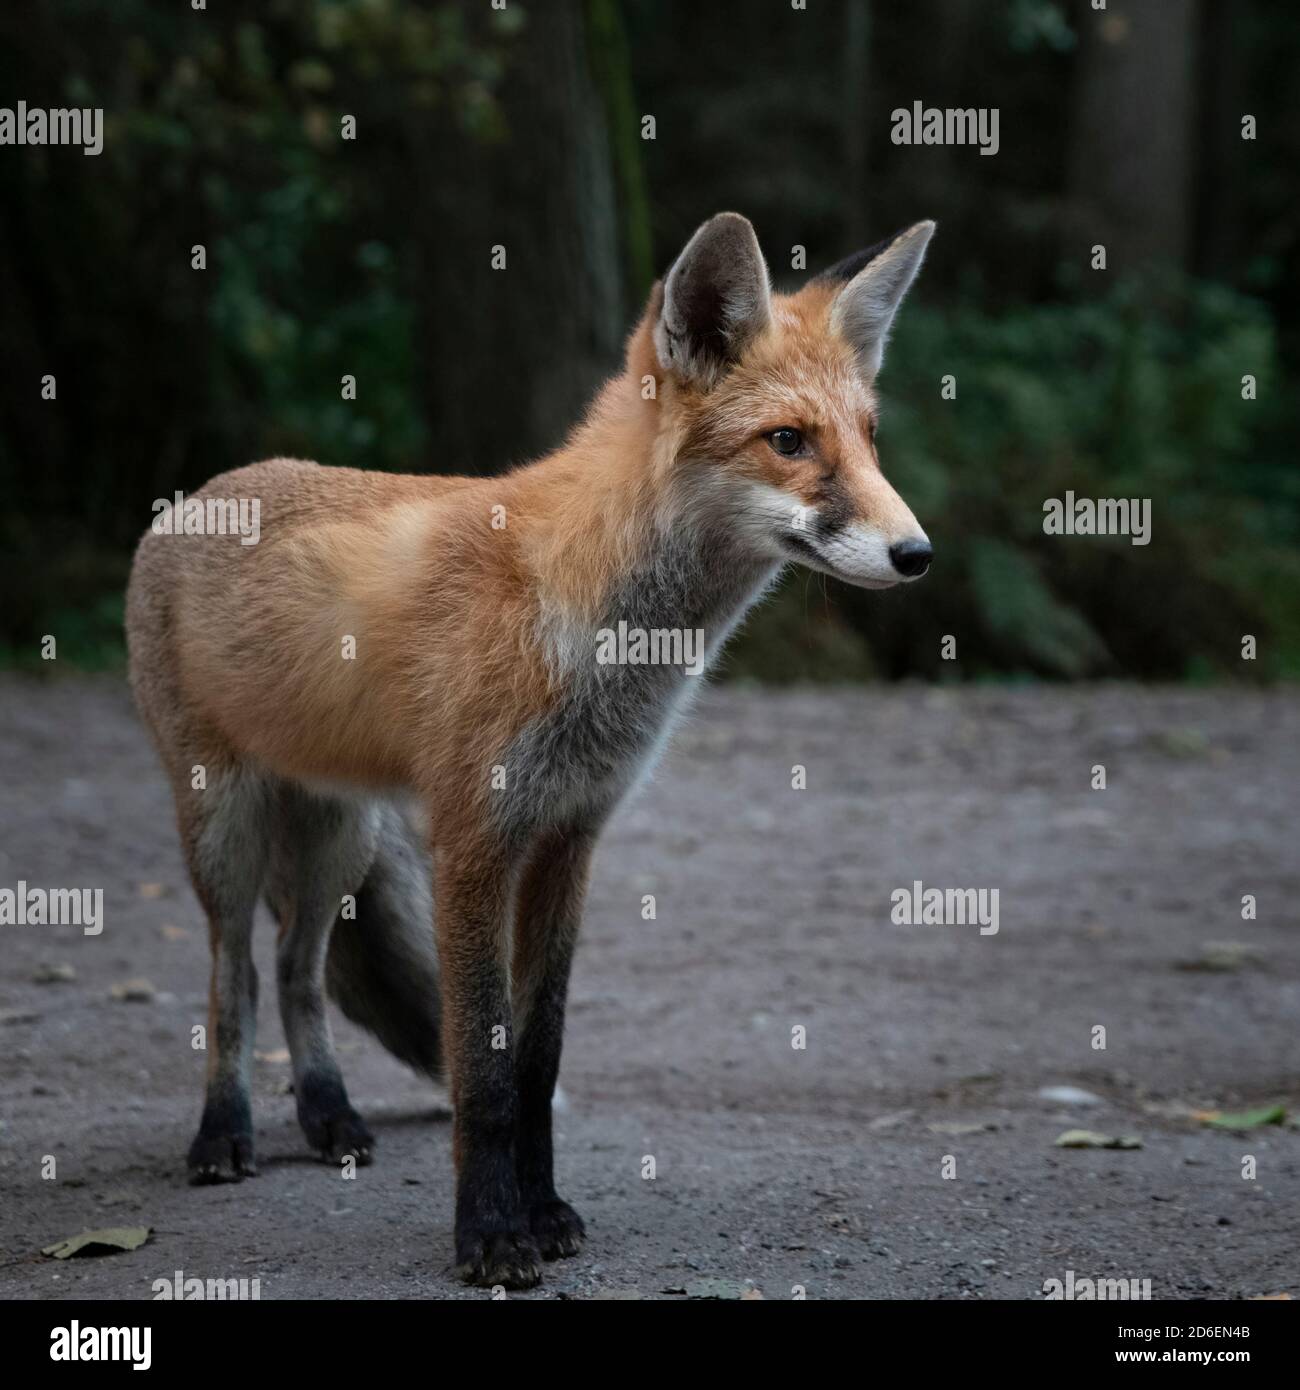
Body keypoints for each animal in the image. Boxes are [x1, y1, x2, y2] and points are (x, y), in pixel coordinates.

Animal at [125, 212, 935, 1289]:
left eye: (870, 439)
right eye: (788, 442)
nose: (916, 555)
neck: (590, 622)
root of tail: (200, 492)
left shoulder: (567, 839)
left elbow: (536, 1060)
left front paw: (543, 1211)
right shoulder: (473, 840)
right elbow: (481, 1066)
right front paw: (489, 1235)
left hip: (341, 837)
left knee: (299, 972)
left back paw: (329, 1115)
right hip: (223, 826)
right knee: (237, 979)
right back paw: (224, 1134)